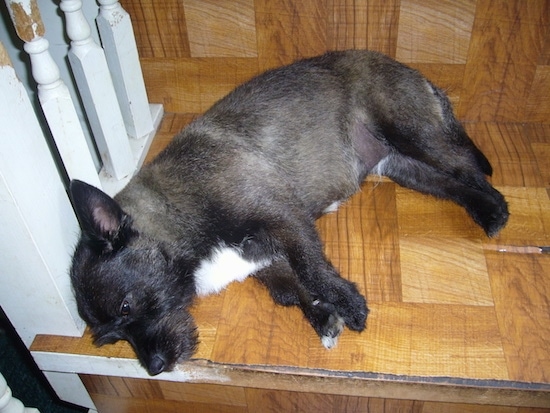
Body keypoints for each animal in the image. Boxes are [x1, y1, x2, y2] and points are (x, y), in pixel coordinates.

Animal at [68, 50, 508, 374]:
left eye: (127, 307)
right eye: (113, 339)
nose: (156, 367)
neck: (176, 210)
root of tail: (405, 66)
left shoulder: (284, 219)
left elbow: (311, 269)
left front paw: (347, 303)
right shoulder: (264, 258)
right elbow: (290, 289)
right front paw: (323, 316)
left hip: (413, 135)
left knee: (467, 172)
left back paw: (494, 211)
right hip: (403, 166)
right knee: (452, 185)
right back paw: (484, 210)